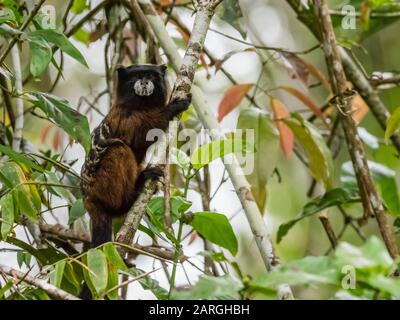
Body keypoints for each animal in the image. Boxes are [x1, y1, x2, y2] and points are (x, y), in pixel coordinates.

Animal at [80, 63, 192, 296]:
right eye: (136, 76)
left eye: (150, 75)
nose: (144, 81)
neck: (140, 105)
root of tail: (90, 200)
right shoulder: (123, 115)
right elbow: (140, 134)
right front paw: (172, 108)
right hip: (102, 185)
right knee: (119, 149)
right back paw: (132, 194)